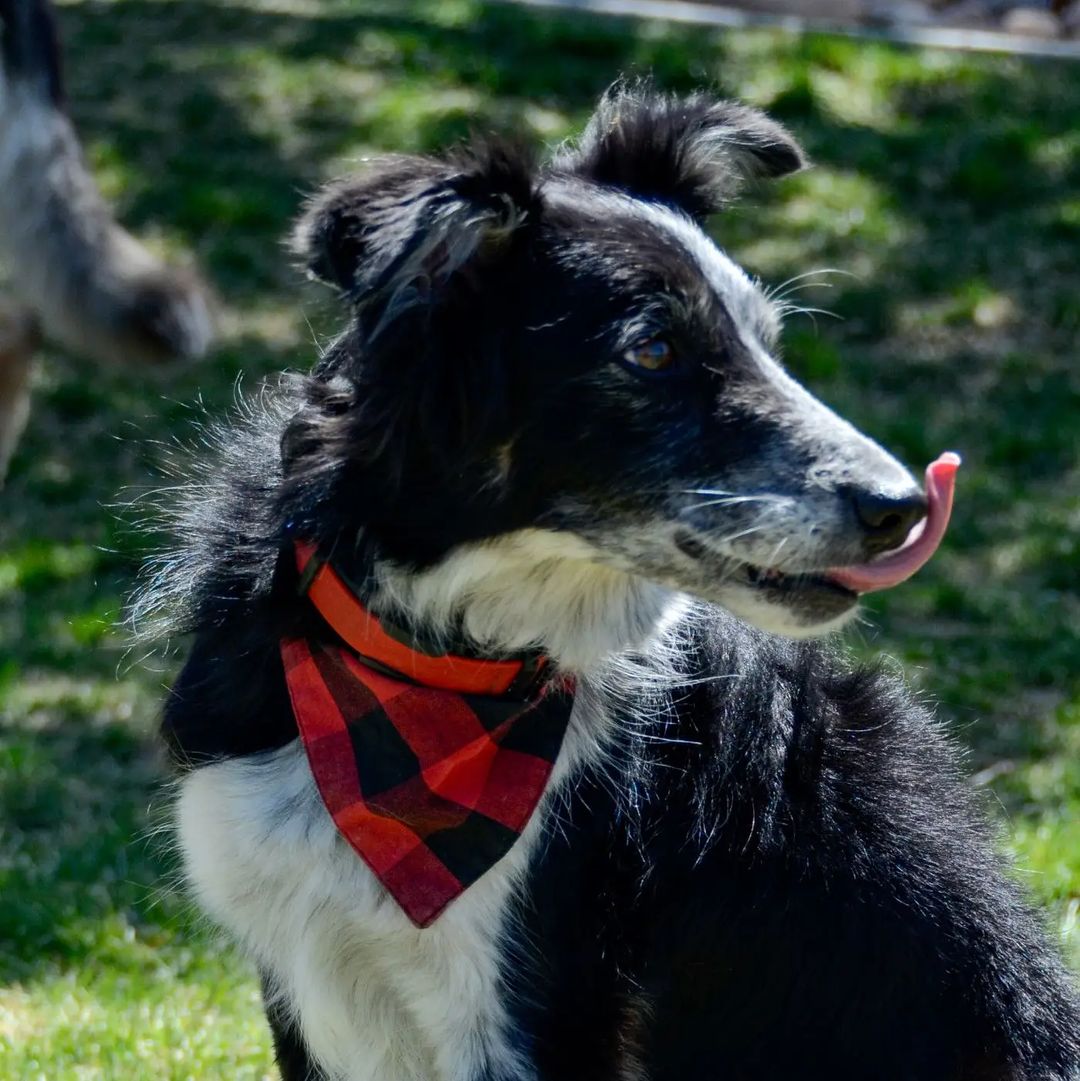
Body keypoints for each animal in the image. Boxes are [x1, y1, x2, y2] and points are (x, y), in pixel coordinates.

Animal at [150, 86, 1080, 1081]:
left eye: (767, 343)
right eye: (655, 350)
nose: (902, 506)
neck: (435, 668)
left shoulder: (544, 1007)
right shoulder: (301, 974)